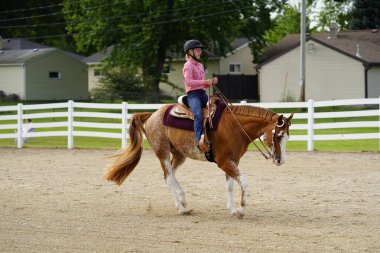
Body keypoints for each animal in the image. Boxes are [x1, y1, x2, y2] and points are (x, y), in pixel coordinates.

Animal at [105, 104, 296, 218]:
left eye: (287, 136)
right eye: (278, 135)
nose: (281, 161)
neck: (234, 126)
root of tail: (152, 115)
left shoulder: (233, 161)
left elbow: (230, 185)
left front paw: (232, 209)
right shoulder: (224, 162)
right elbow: (243, 181)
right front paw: (241, 209)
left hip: (179, 154)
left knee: (171, 174)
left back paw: (183, 199)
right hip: (162, 152)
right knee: (168, 177)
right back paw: (181, 207)